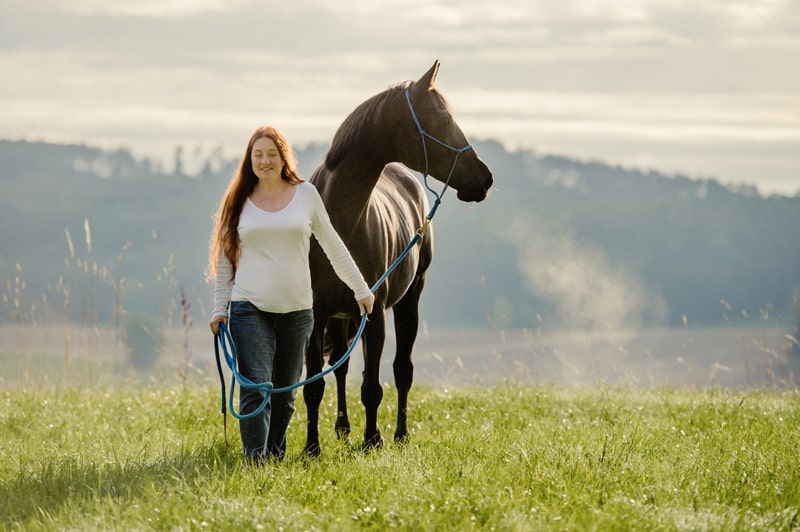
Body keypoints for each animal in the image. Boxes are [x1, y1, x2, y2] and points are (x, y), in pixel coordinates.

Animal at [304, 61, 494, 454]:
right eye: (442, 118)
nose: (485, 178)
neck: (340, 224)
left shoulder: (374, 312)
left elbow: (372, 386)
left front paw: (372, 440)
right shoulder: (317, 315)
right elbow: (315, 385)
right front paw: (311, 447)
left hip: (410, 301)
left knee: (402, 370)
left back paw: (399, 433)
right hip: (342, 318)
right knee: (341, 367)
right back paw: (342, 427)